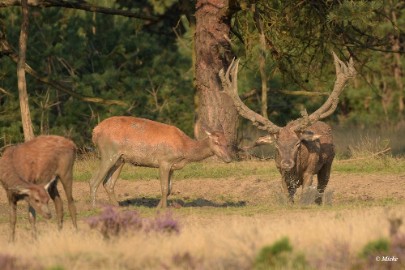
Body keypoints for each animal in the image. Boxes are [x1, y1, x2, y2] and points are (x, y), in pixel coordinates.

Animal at [90, 117, 232, 208]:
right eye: (216, 142)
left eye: (227, 142)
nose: (228, 158)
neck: (184, 149)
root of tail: (94, 131)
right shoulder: (164, 161)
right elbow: (163, 188)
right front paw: (163, 208)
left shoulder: (172, 166)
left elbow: (169, 189)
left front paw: (159, 206)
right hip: (108, 153)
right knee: (94, 180)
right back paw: (93, 207)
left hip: (121, 159)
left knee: (108, 183)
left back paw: (117, 206)